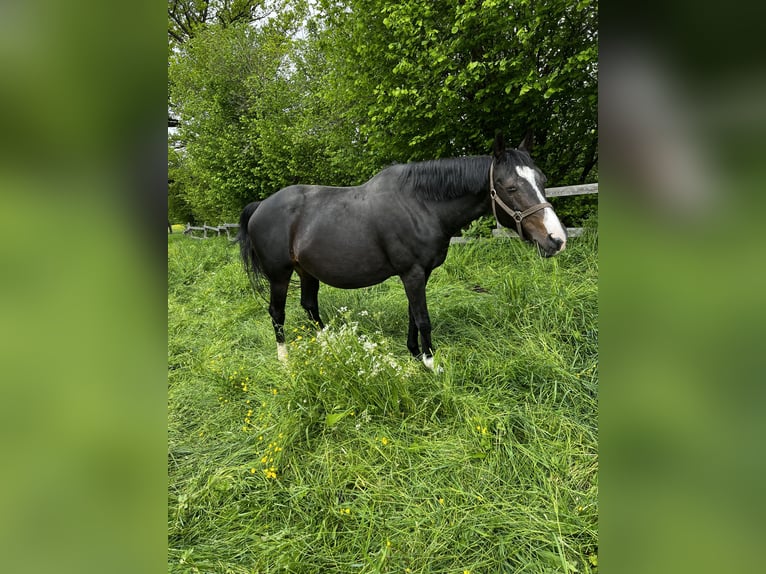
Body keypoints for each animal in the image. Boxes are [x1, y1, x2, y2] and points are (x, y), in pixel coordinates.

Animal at [237, 133, 568, 372]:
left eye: (541, 180)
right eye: (510, 187)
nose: (556, 239)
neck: (421, 204)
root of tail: (260, 206)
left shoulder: (419, 274)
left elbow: (412, 314)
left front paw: (415, 355)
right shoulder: (412, 274)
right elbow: (423, 318)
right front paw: (432, 364)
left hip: (307, 271)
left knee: (309, 306)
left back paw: (330, 345)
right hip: (279, 276)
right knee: (277, 313)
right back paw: (285, 361)